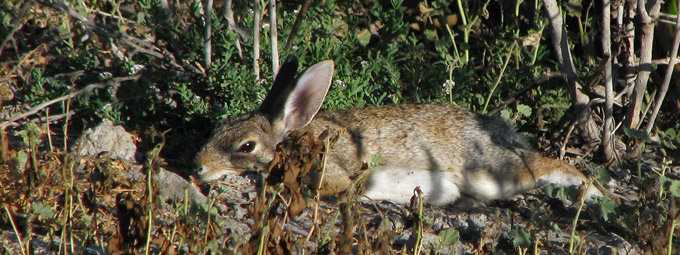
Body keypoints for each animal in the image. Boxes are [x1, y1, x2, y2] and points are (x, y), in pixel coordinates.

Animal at [194, 55, 604, 205]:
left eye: (246, 146)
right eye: (219, 128)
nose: (198, 166)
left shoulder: (330, 173)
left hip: (493, 173)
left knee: (553, 167)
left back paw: (595, 196)